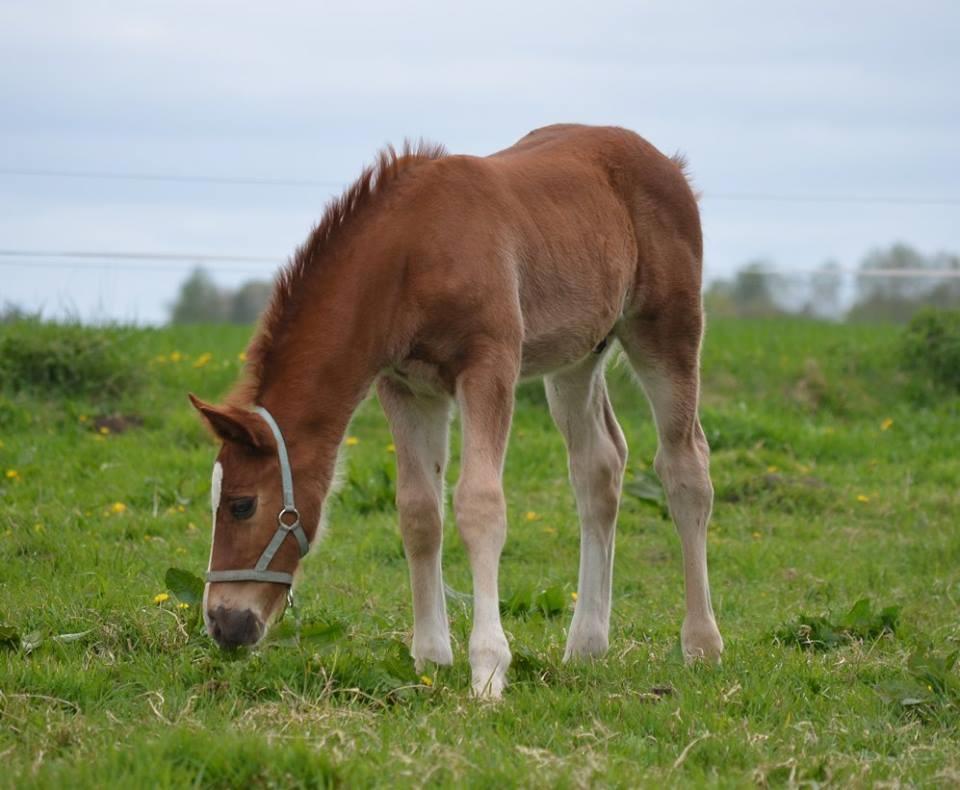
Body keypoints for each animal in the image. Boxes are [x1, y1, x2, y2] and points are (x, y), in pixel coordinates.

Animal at [191, 124, 724, 700]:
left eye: (242, 504)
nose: (222, 622)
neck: (411, 253)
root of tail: (666, 163)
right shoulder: (405, 387)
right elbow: (419, 512)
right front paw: (431, 654)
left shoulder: (489, 367)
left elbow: (479, 504)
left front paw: (488, 669)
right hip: (578, 358)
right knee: (598, 468)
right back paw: (586, 645)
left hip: (666, 330)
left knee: (684, 466)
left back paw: (701, 645)